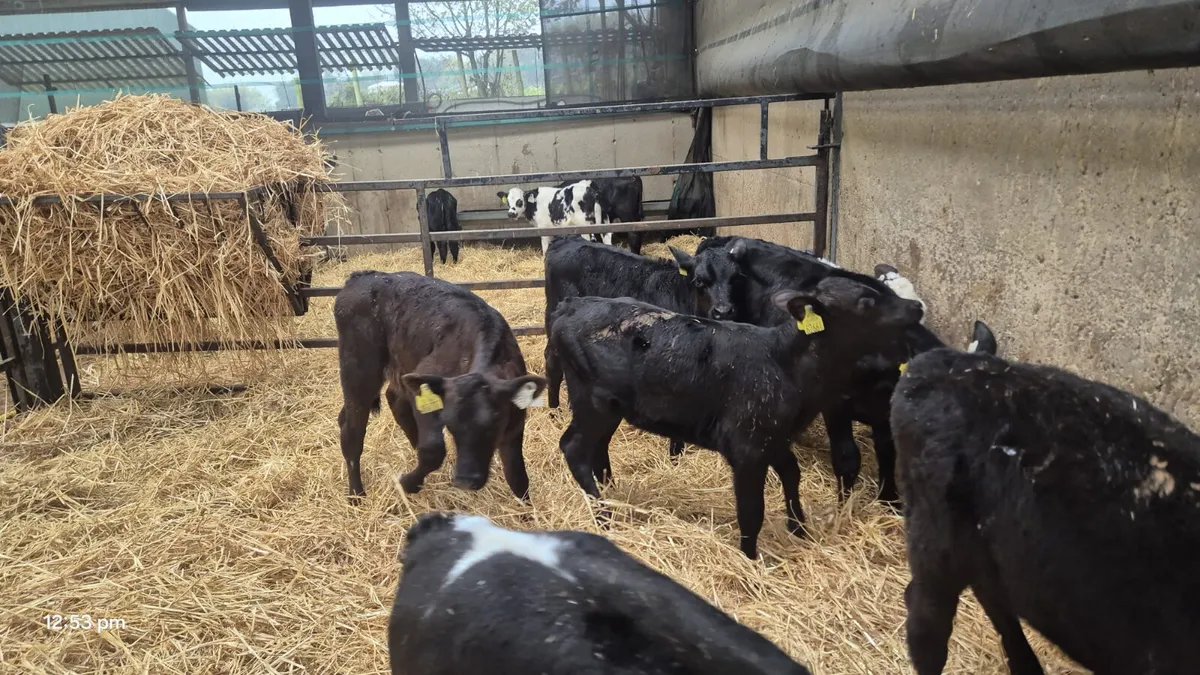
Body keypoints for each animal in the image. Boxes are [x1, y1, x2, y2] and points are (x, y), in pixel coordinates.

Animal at [334, 271, 546, 500]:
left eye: (494, 424)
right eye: (451, 426)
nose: (466, 480)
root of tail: (362, 276)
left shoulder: (514, 425)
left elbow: (517, 476)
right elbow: (434, 451)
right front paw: (408, 483)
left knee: (391, 401)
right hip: (359, 370)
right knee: (352, 431)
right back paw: (356, 494)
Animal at [549, 270, 926, 559]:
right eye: (866, 302)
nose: (916, 307)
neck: (783, 361)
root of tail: (572, 305)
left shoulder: (775, 436)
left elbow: (792, 474)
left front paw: (799, 528)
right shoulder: (747, 446)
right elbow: (751, 509)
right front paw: (750, 557)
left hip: (610, 407)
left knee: (597, 448)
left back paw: (610, 491)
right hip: (591, 401)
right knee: (574, 447)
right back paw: (603, 514)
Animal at [676, 235, 997, 506]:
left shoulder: (884, 414)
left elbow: (887, 454)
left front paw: (889, 501)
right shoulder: (835, 405)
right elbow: (847, 458)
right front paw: (844, 508)